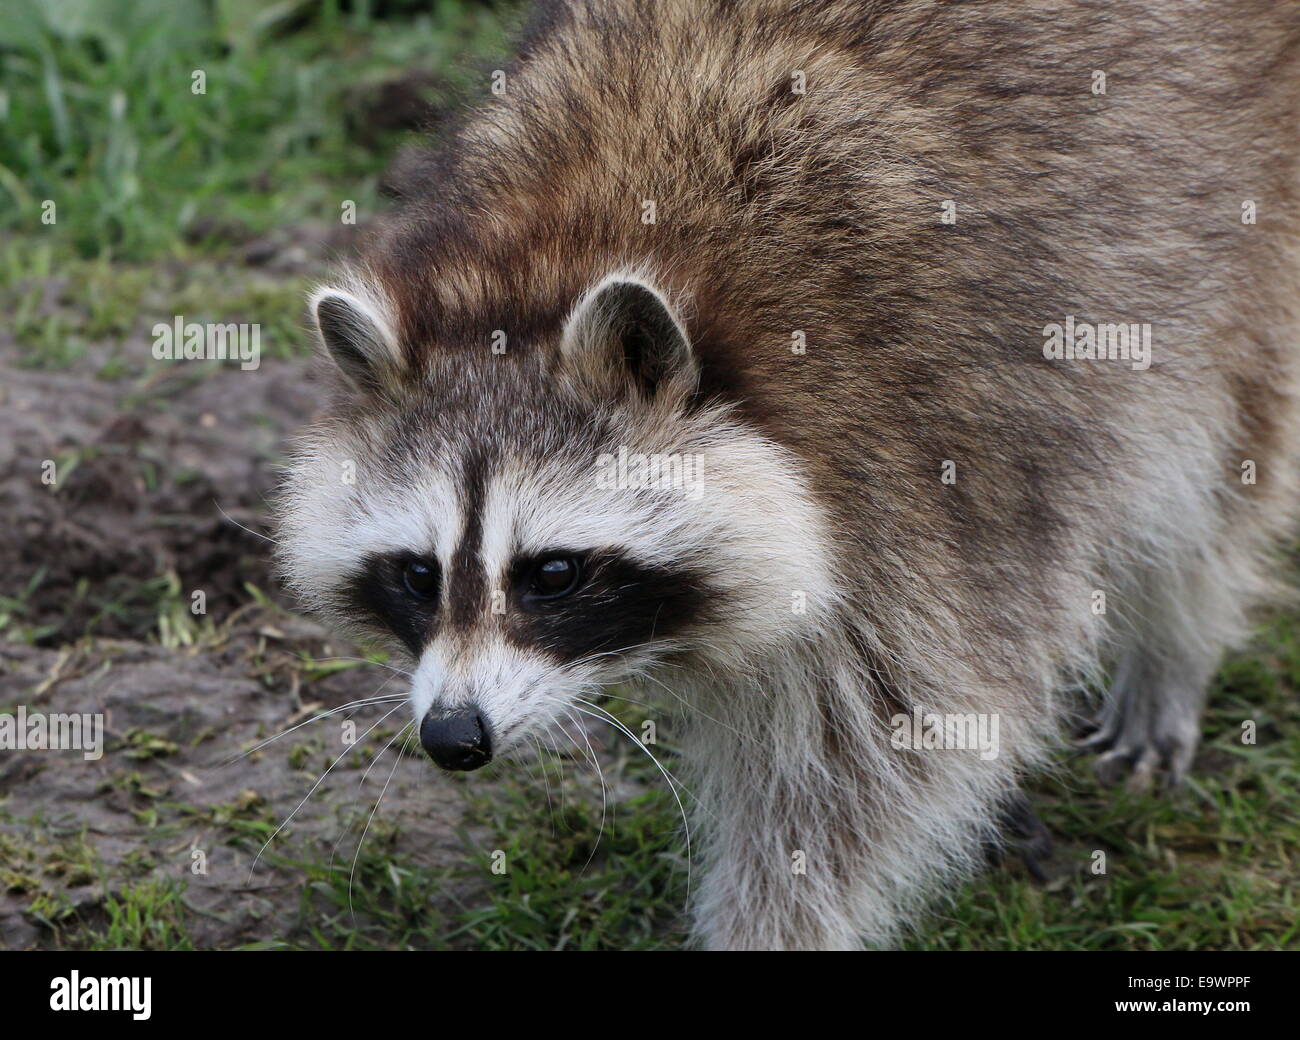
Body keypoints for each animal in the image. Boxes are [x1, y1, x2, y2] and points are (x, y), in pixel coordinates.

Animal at [274, 0, 1300, 946]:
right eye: (418, 574)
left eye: (553, 572)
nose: (453, 737)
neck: (544, 261)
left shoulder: (918, 466)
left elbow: (872, 764)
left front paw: (770, 926)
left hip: (1233, 225)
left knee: (1221, 463)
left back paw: (1175, 643)